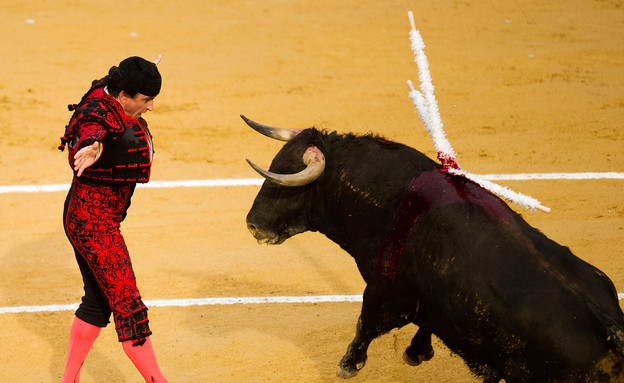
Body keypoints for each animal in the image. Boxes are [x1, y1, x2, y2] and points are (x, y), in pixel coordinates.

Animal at [241, 115, 624, 383]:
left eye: (287, 184)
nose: (252, 224)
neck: (392, 197)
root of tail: (610, 330)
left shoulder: (384, 291)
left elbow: (366, 325)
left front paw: (348, 365)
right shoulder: (429, 300)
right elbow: (423, 322)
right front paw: (417, 352)